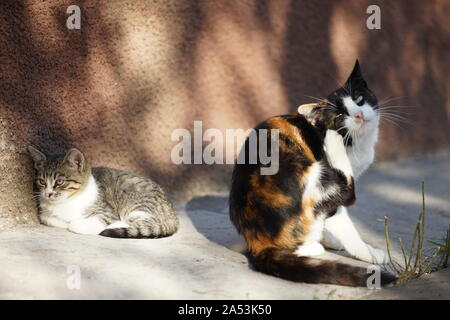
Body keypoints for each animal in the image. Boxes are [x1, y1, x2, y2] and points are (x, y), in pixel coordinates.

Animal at [27, 146, 179, 239]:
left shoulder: (108, 211)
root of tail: (173, 215)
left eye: (59, 182)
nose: (48, 194)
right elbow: (49, 219)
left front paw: (77, 223)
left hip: (137, 203)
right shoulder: (45, 215)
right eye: (41, 181)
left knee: (146, 222)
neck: (67, 201)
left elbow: (77, 224)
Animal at [230, 61, 396, 286]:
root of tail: (255, 242)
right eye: (339, 115)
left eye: (359, 99)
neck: (356, 142)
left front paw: (330, 238)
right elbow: (346, 226)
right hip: (308, 172)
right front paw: (370, 254)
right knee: (347, 191)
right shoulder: (331, 196)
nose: (359, 115)